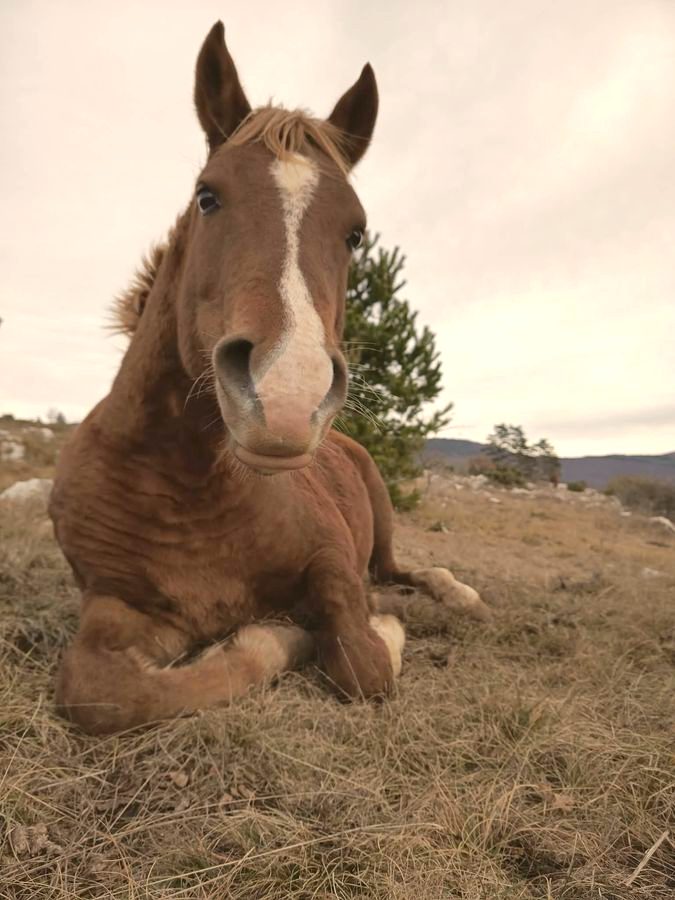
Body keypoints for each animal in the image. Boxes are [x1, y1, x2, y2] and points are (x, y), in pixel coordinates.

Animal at [49, 22, 490, 735]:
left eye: (356, 233)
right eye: (208, 196)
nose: (286, 393)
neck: (186, 489)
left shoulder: (332, 560)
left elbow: (363, 661)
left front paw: (368, 629)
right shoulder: (113, 605)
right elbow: (104, 693)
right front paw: (273, 636)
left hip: (382, 526)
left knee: (405, 570)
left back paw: (461, 593)